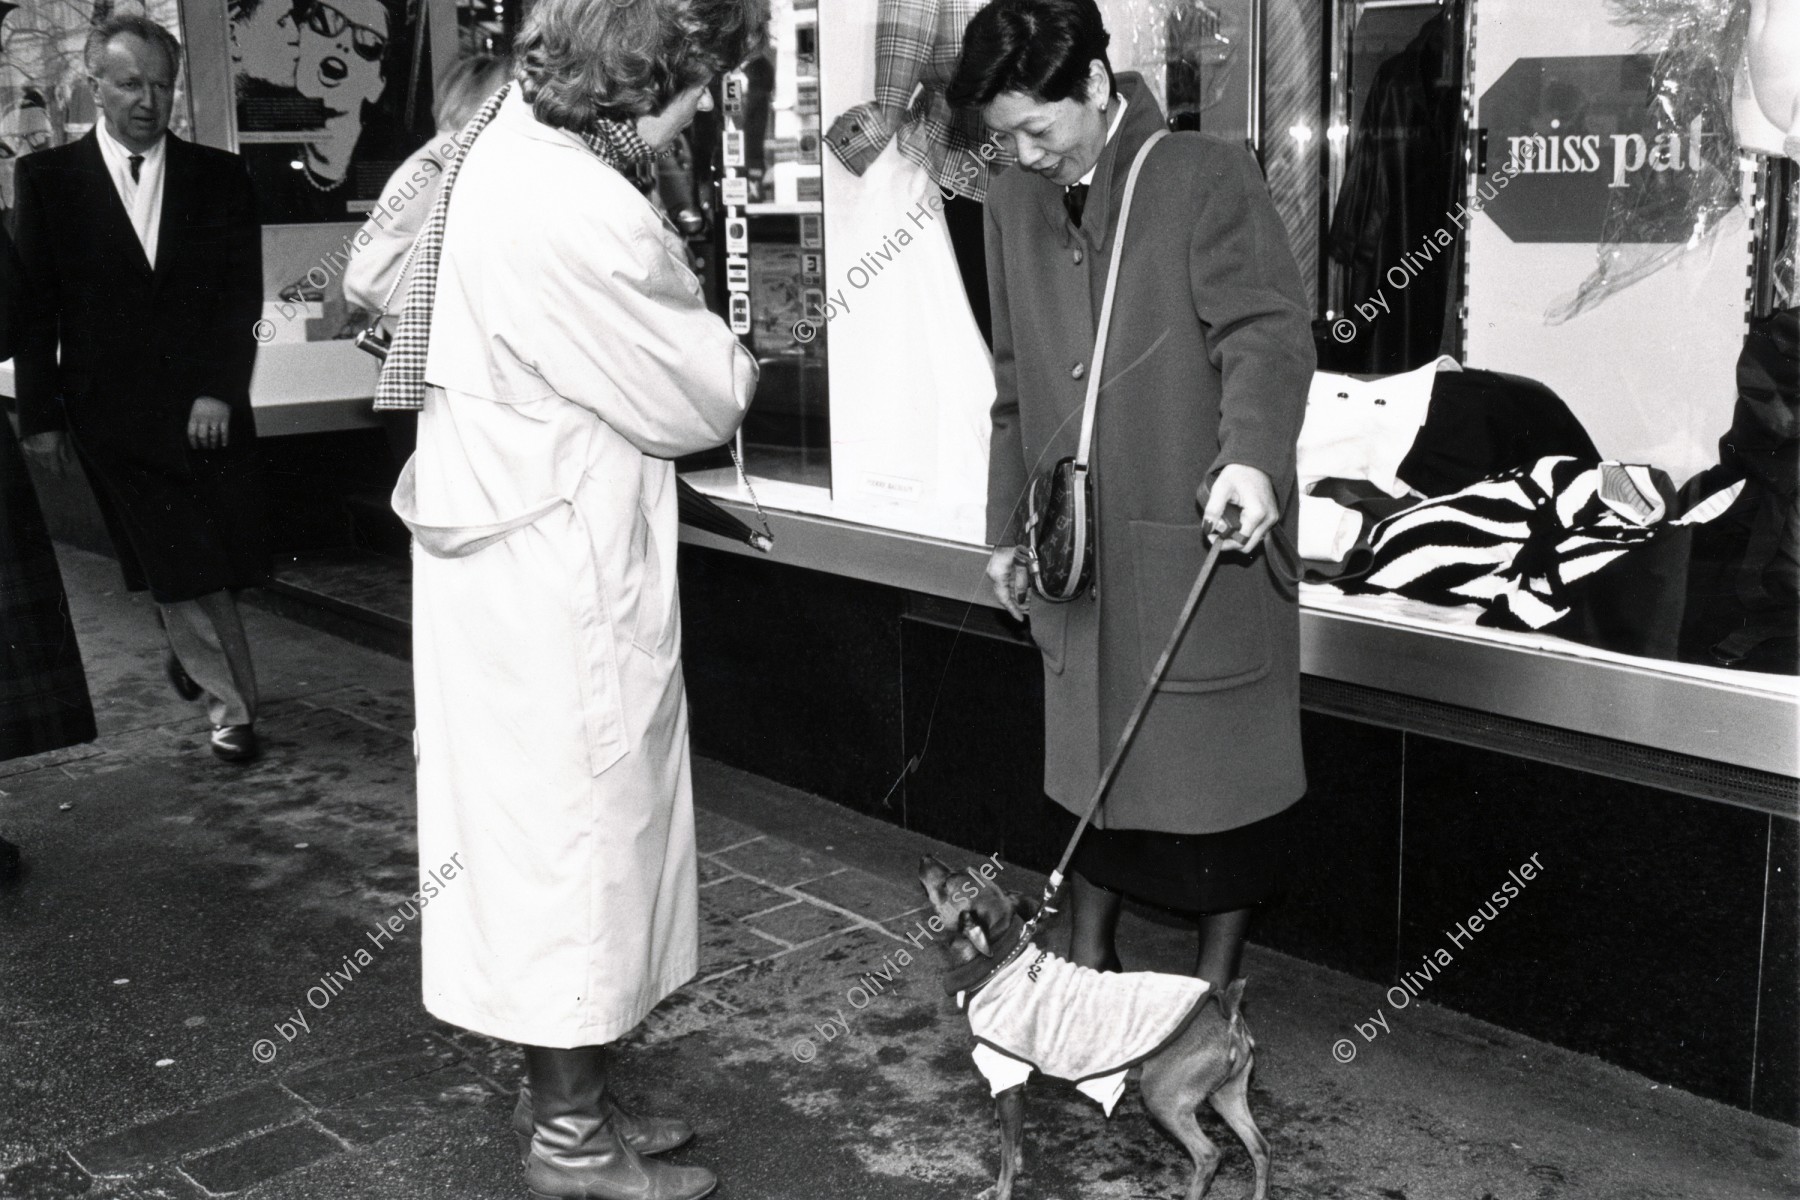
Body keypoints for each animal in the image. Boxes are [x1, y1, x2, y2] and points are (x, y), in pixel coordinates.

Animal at [921, 852, 1274, 1200]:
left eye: (948, 882)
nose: (926, 859)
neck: (1002, 965)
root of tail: (1229, 1013)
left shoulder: (1007, 1081)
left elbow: (1006, 1156)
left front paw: (1002, 1190)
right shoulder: (1013, 1088)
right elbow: (1012, 1143)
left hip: (1165, 1100)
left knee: (1209, 1155)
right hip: (1226, 1096)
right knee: (1261, 1148)